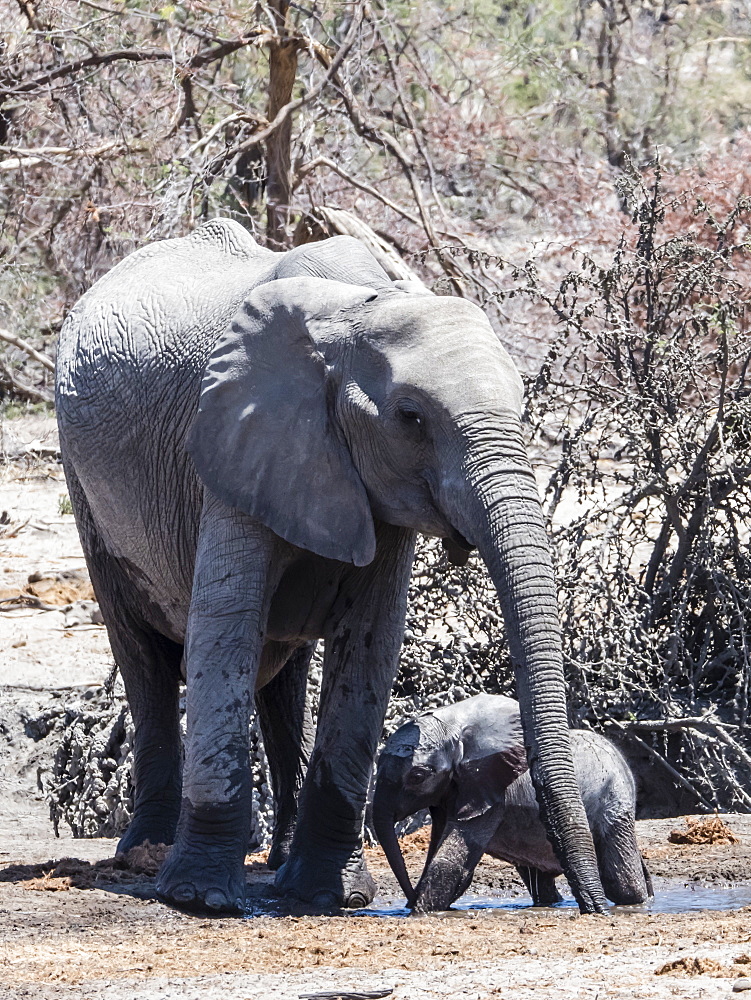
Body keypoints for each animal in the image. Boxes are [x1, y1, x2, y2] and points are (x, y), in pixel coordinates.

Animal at [57, 217, 612, 916]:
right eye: (411, 417)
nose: (593, 907)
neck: (356, 313)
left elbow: (371, 643)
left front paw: (332, 897)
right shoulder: (236, 435)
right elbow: (226, 627)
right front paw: (201, 898)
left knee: (281, 675)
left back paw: (276, 861)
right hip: (84, 486)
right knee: (145, 658)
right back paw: (146, 856)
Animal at [374, 696, 652, 916]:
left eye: (417, 776)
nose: (408, 901)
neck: (454, 724)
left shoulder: (490, 791)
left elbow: (451, 860)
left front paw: (419, 912)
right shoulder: (451, 792)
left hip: (615, 798)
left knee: (622, 884)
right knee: (541, 884)